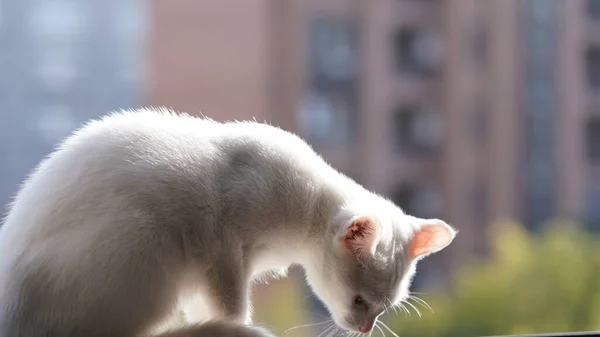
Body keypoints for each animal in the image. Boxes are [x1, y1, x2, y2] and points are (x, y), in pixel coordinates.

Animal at [0, 108, 454, 336]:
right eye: (360, 301)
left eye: (384, 309)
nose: (364, 328)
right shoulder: (221, 252)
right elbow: (232, 310)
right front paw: (237, 327)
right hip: (146, 245)